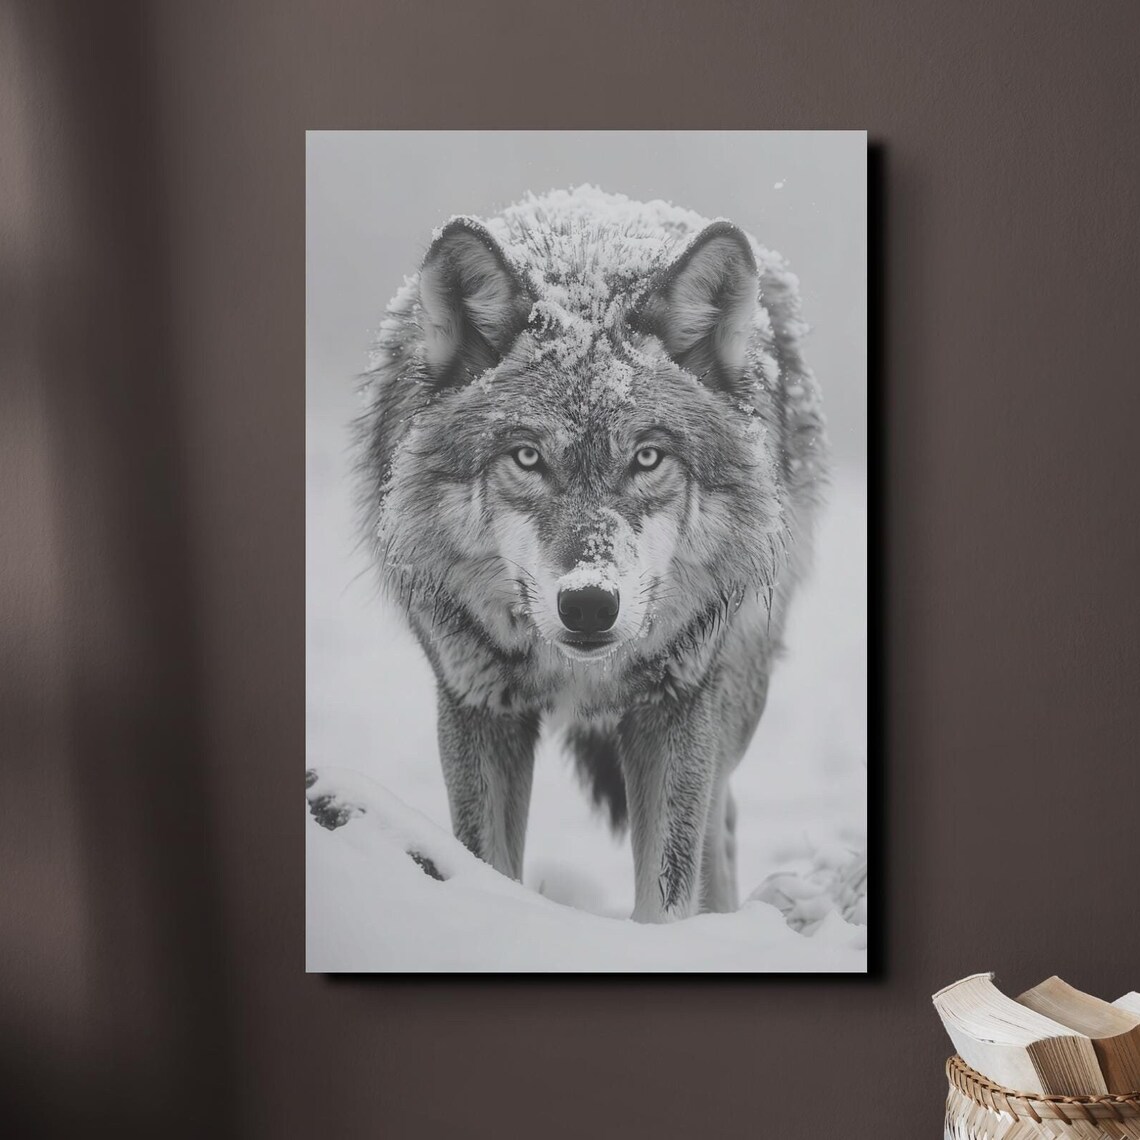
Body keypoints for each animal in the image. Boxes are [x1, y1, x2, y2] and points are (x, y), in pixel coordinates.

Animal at [356, 185, 828, 923]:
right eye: (527, 457)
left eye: (647, 458)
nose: (586, 605)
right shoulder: (478, 706)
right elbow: (488, 866)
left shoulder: (675, 703)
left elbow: (667, 893)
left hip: (733, 684)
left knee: (720, 822)